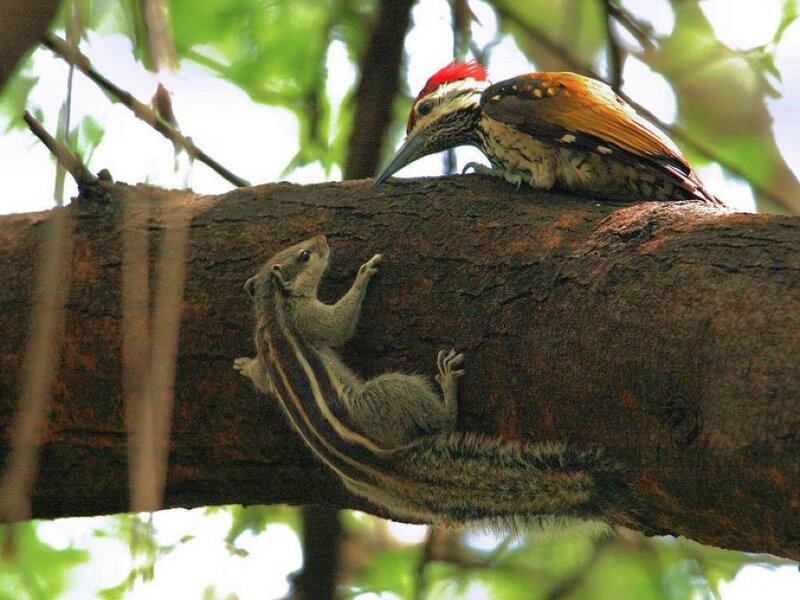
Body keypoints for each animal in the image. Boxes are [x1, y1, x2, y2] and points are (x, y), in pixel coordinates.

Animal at [234, 234, 628, 528]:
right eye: (304, 255)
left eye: (297, 247)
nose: (322, 237)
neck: (271, 311)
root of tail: (371, 460)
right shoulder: (307, 319)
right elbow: (339, 325)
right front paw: (363, 275)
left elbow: (264, 377)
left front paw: (244, 366)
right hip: (388, 394)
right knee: (441, 421)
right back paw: (448, 387)